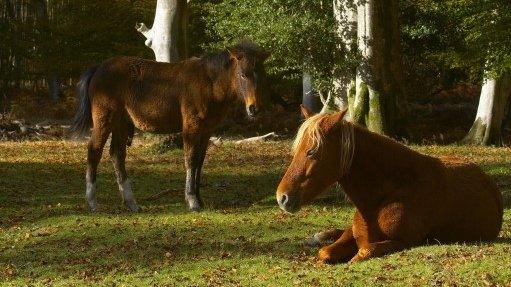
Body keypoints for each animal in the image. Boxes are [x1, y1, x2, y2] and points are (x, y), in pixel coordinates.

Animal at [74, 41, 270, 212]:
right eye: (243, 74)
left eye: (262, 75)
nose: (254, 108)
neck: (208, 84)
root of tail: (99, 68)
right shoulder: (192, 126)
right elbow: (190, 159)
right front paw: (192, 201)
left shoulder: (206, 131)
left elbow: (200, 162)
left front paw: (200, 199)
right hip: (105, 119)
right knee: (94, 151)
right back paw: (92, 202)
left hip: (121, 123)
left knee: (117, 155)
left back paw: (131, 203)